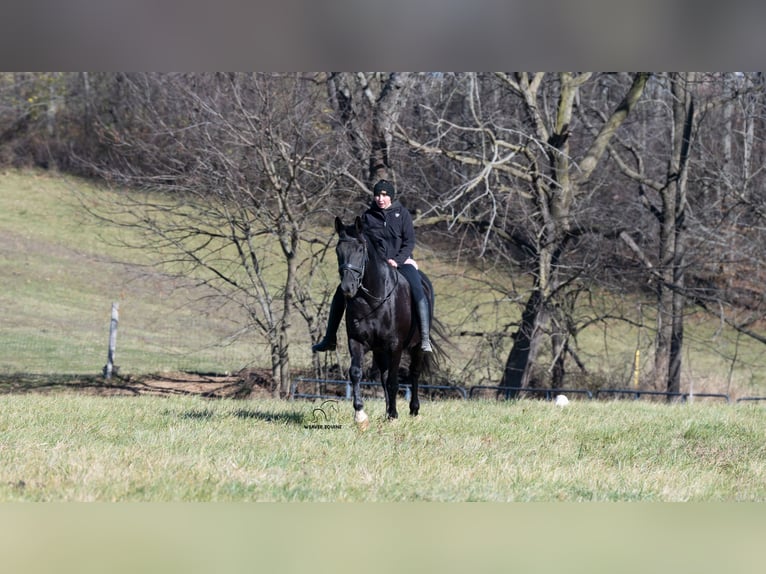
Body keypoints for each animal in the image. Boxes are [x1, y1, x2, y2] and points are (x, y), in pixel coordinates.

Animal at [334, 215, 439, 430]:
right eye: (338, 250)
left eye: (360, 249)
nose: (347, 288)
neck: (372, 300)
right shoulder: (357, 341)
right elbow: (356, 372)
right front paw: (360, 415)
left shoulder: (395, 345)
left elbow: (393, 380)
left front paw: (394, 416)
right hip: (380, 350)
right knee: (383, 376)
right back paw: (388, 410)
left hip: (415, 347)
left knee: (414, 373)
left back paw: (413, 410)